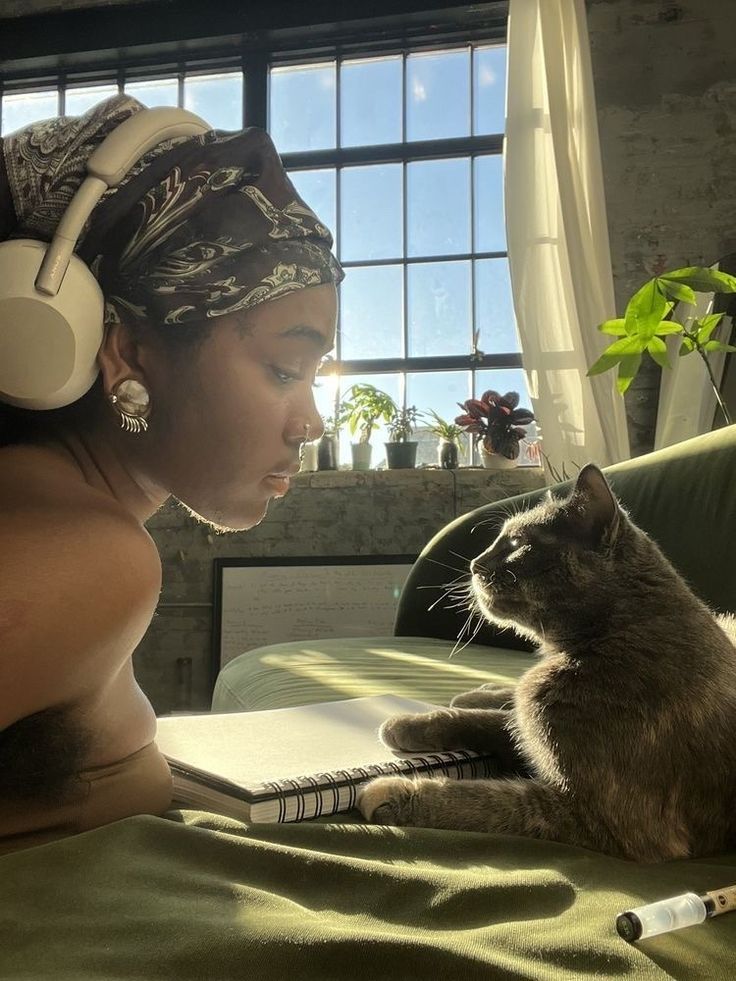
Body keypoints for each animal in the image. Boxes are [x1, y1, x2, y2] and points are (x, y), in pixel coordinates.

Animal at [356, 464, 736, 860]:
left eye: (516, 544)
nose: (474, 564)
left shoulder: (613, 821)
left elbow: (487, 800)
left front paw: (393, 792)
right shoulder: (534, 723)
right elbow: (493, 723)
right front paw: (407, 723)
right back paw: (479, 692)